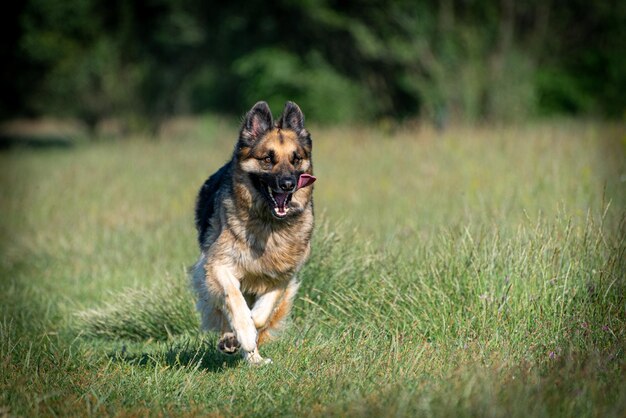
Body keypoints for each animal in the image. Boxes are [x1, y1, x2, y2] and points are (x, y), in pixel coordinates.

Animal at [190, 102, 314, 366]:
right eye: (268, 159)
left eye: (296, 159)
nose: (288, 184)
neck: (269, 223)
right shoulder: (218, 266)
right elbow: (234, 300)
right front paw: (243, 334)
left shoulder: (281, 278)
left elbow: (260, 315)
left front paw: (247, 337)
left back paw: (253, 358)